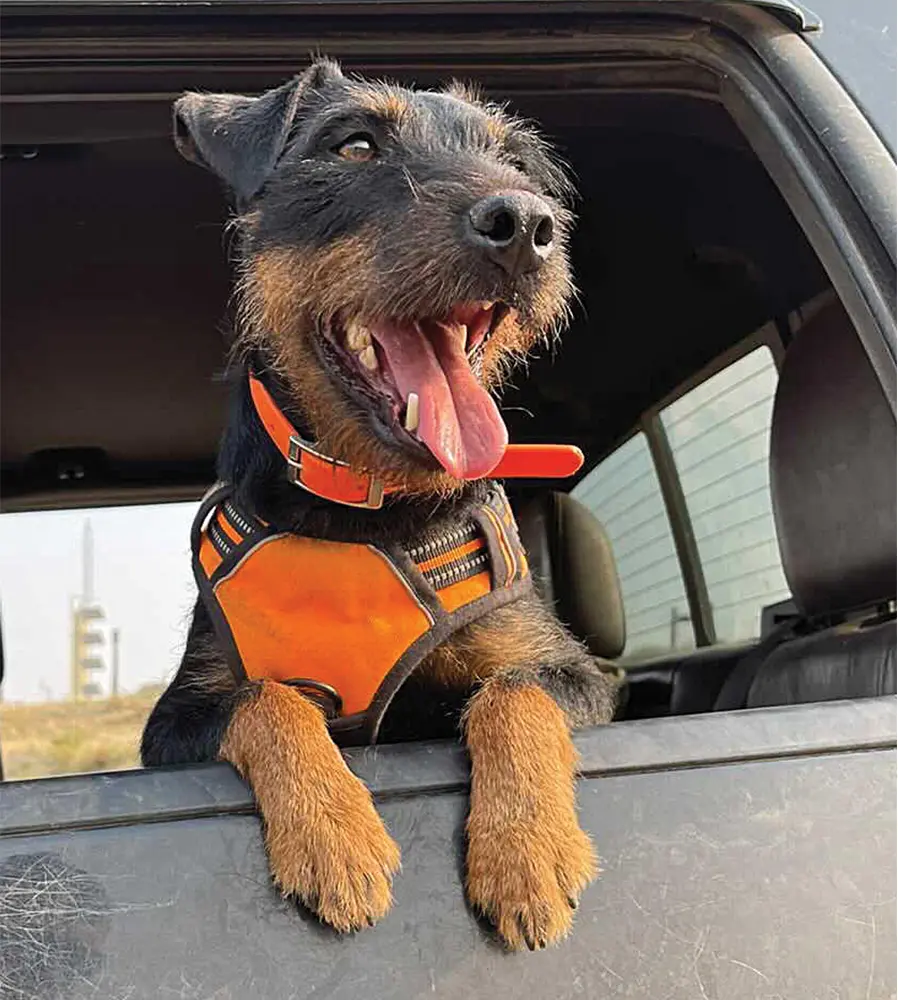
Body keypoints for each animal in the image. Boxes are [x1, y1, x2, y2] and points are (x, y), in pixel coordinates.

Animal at [142, 58, 616, 948]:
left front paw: (527, 852)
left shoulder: (579, 675)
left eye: (518, 166)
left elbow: (515, 692)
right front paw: (335, 835)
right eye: (354, 145)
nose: (524, 225)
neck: (366, 508)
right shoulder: (176, 722)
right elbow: (268, 699)